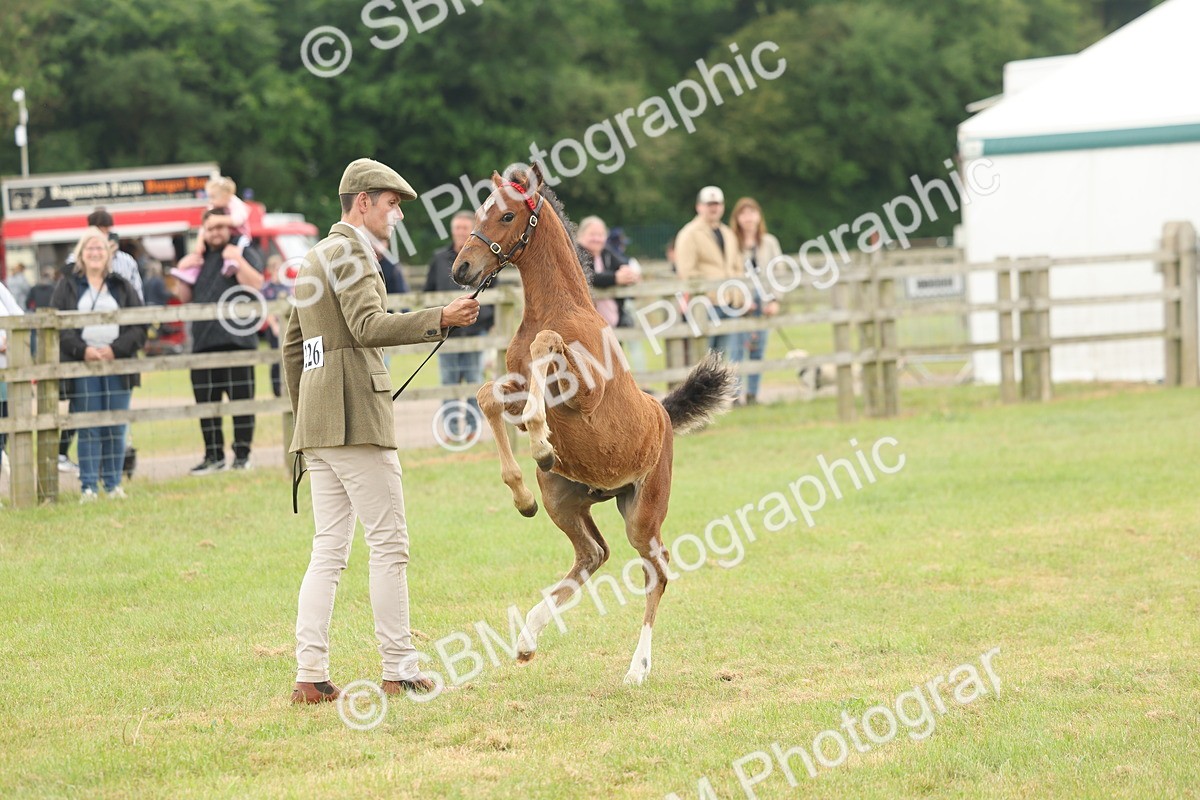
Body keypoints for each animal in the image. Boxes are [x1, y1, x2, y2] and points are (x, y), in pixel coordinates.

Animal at [451, 164, 736, 685]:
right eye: (479, 212)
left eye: (506, 215)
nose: (461, 269)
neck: (559, 309)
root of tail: (664, 415)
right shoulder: (515, 389)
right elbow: (487, 397)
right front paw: (521, 486)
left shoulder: (584, 395)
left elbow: (545, 346)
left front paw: (542, 439)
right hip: (564, 499)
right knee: (592, 554)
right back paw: (527, 637)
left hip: (643, 512)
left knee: (656, 569)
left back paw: (638, 668)